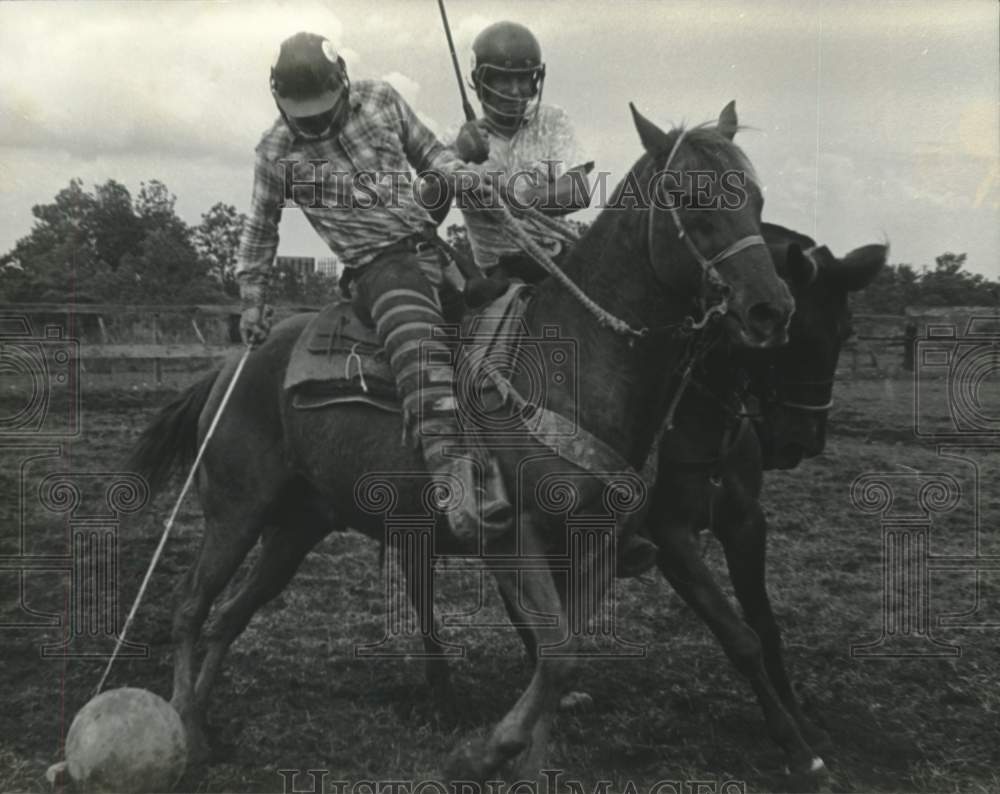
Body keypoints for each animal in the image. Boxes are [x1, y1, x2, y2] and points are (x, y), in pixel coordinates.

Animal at [127, 102, 796, 776]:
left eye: (757, 199)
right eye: (689, 196)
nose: (771, 308)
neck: (571, 361)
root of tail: (235, 361)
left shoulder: (600, 542)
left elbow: (564, 656)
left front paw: (524, 763)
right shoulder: (513, 538)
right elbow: (557, 656)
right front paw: (482, 753)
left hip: (296, 526)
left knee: (228, 617)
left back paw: (202, 723)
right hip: (235, 511)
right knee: (190, 606)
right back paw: (183, 729)